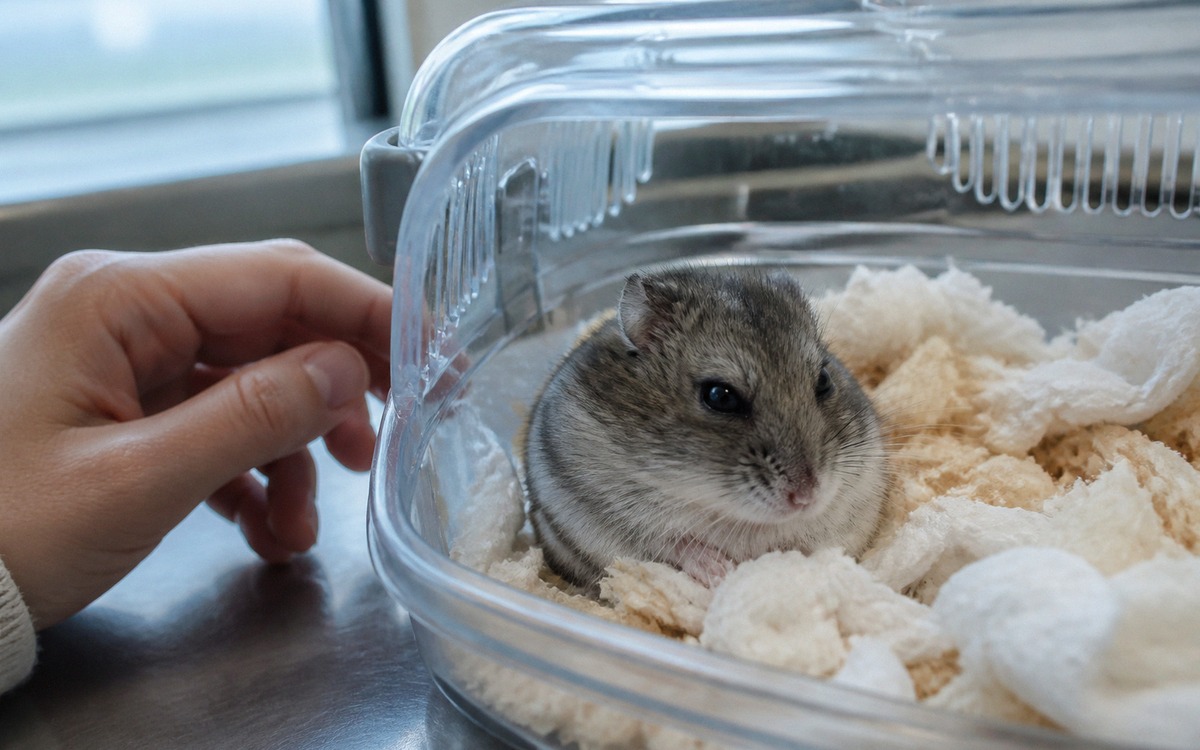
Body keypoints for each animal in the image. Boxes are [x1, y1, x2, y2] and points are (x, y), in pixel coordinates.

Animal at [523, 266, 888, 590]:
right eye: (719, 396)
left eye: (824, 380)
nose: (807, 497)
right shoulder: (617, 514)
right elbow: (677, 543)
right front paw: (722, 573)